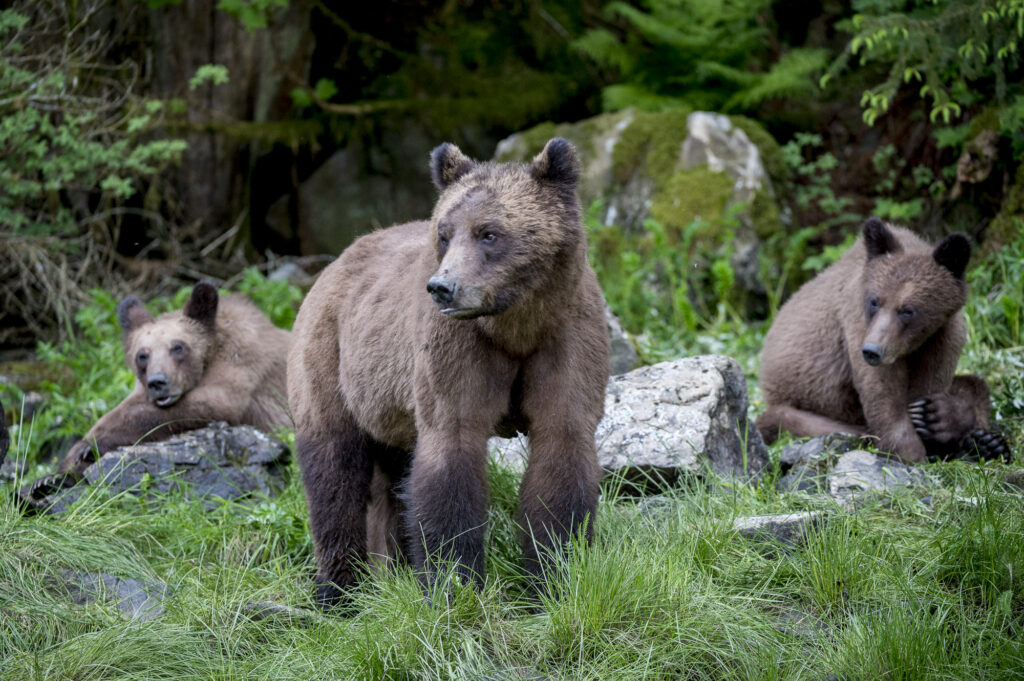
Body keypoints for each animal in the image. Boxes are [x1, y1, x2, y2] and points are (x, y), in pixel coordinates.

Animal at [24, 282, 292, 502]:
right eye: (143, 355)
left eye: (178, 347)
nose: (157, 382)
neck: (212, 352)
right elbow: (114, 414)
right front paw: (51, 478)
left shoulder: (241, 365)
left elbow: (210, 404)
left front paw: (92, 449)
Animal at [288, 138, 609, 607]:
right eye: (444, 233)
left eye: (489, 232)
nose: (443, 288)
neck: (515, 324)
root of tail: (333, 264)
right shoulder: (456, 350)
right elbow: (451, 451)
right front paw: (453, 581)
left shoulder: (565, 335)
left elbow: (562, 445)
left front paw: (550, 575)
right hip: (333, 358)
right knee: (334, 469)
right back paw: (339, 588)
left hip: (387, 405)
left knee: (391, 478)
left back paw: (393, 567)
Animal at [756, 217, 1009, 464]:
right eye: (875, 301)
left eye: (907, 310)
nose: (872, 351)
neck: (914, 344)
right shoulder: (857, 324)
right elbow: (883, 392)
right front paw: (910, 451)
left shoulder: (943, 334)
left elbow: (930, 382)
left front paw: (929, 419)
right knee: (783, 419)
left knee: (976, 385)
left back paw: (984, 439)